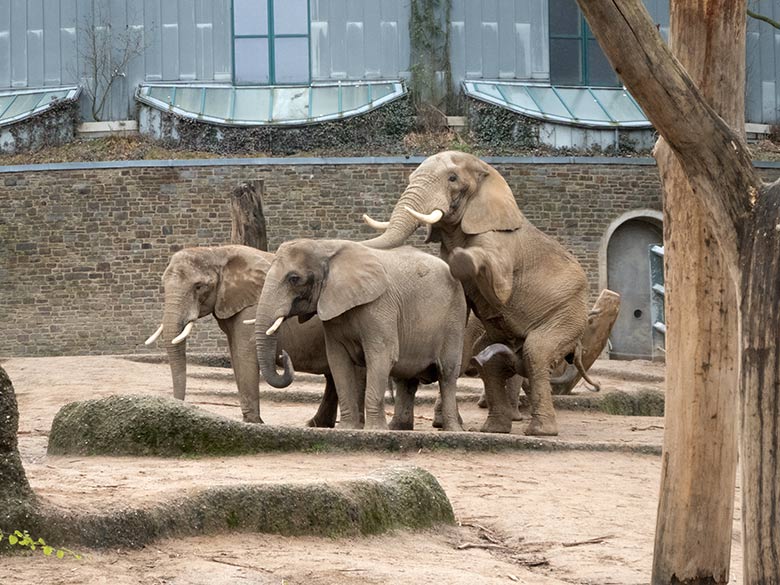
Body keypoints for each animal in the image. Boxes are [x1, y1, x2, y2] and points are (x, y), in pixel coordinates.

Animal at [143, 244, 338, 426]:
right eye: (163, 285)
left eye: (199, 287)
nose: (178, 405)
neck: (217, 252)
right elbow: (236, 355)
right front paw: (250, 421)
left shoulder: (251, 306)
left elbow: (245, 355)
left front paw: (254, 423)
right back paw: (317, 425)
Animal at [253, 238, 466, 434]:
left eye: (294, 278)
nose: (284, 355)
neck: (325, 246)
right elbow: (338, 361)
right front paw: (347, 429)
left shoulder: (379, 307)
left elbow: (381, 356)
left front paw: (375, 431)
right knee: (406, 379)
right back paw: (398, 429)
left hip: (455, 319)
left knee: (447, 374)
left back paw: (452, 431)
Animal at [362, 151, 588, 434]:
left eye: (452, 178)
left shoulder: (499, 242)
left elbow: (501, 290)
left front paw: (463, 258)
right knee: (490, 360)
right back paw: (494, 428)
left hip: (569, 313)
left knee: (536, 352)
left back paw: (539, 431)